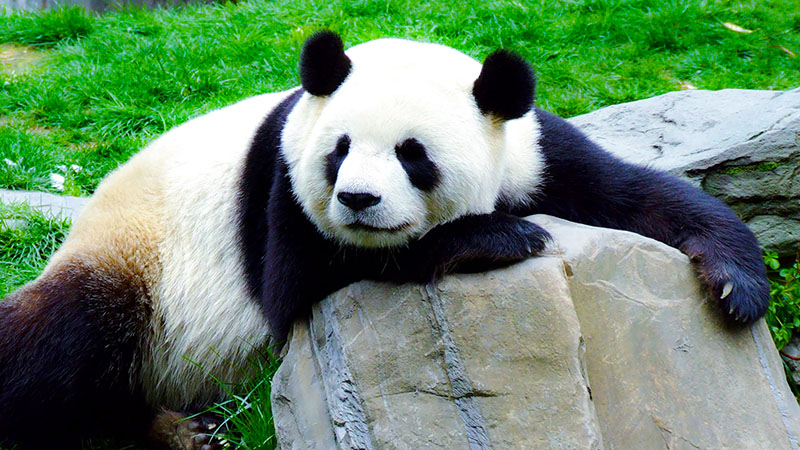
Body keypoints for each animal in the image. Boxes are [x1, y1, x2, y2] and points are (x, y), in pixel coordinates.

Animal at [0, 31, 769, 449]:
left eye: (412, 154)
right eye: (339, 151)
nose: (358, 200)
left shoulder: (533, 149)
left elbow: (632, 192)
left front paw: (736, 282)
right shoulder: (283, 185)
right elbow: (298, 284)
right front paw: (497, 235)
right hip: (140, 265)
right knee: (61, 337)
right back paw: (170, 427)